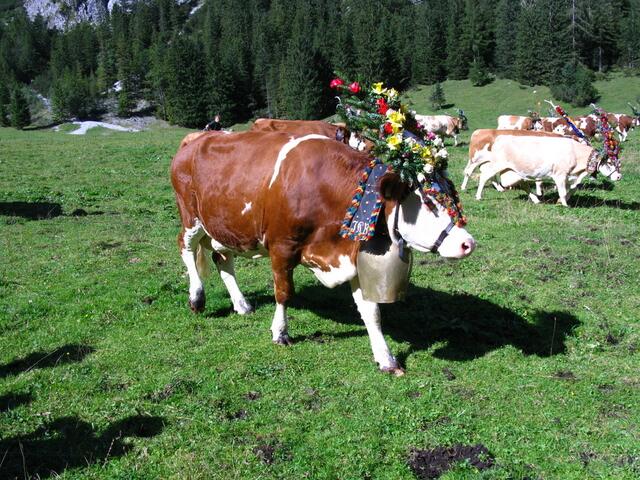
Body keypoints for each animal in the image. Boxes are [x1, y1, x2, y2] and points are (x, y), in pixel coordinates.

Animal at [170, 131, 476, 375]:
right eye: (428, 202)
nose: (468, 243)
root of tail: (196, 138)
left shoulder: (352, 255)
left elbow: (371, 312)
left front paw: (385, 358)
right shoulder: (282, 247)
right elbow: (284, 293)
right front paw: (280, 333)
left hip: (223, 226)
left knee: (222, 260)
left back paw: (241, 304)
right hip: (190, 216)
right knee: (185, 247)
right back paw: (197, 297)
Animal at [462, 131, 621, 206]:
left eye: (618, 162)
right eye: (609, 163)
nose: (619, 176)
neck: (576, 153)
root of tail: (501, 137)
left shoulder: (571, 176)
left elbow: (573, 189)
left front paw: (561, 201)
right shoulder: (560, 174)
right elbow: (563, 191)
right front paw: (564, 204)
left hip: (512, 173)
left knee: (522, 183)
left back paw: (535, 199)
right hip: (496, 165)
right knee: (483, 175)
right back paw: (478, 196)